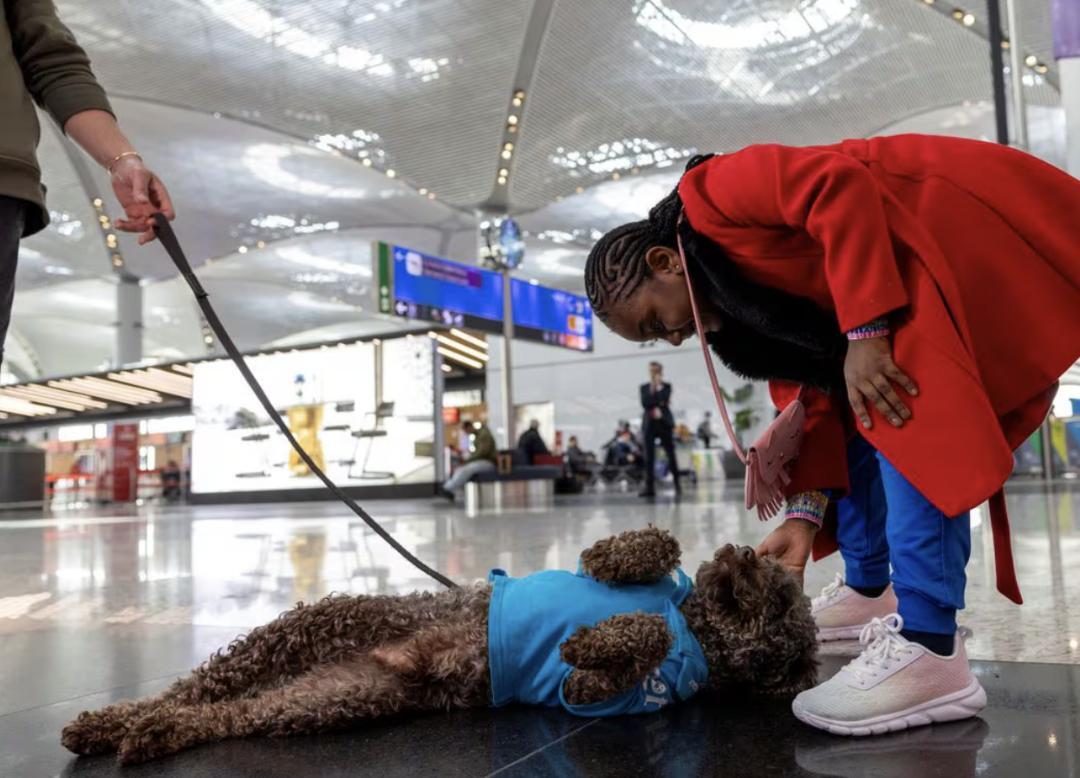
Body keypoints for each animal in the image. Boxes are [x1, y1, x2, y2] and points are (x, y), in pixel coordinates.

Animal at [61, 525, 816, 760]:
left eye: (781, 602)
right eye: (779, 581)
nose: (743, 552)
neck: (699, 623)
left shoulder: (616, 698)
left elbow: (611, 666)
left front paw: (588, 648)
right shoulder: (662, 583)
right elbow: (649, 553)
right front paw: (616, 559)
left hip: (326, 698)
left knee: (225, 713)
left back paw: (147, 732)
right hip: (303, 629)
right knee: (195, 685)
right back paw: (109, 721)